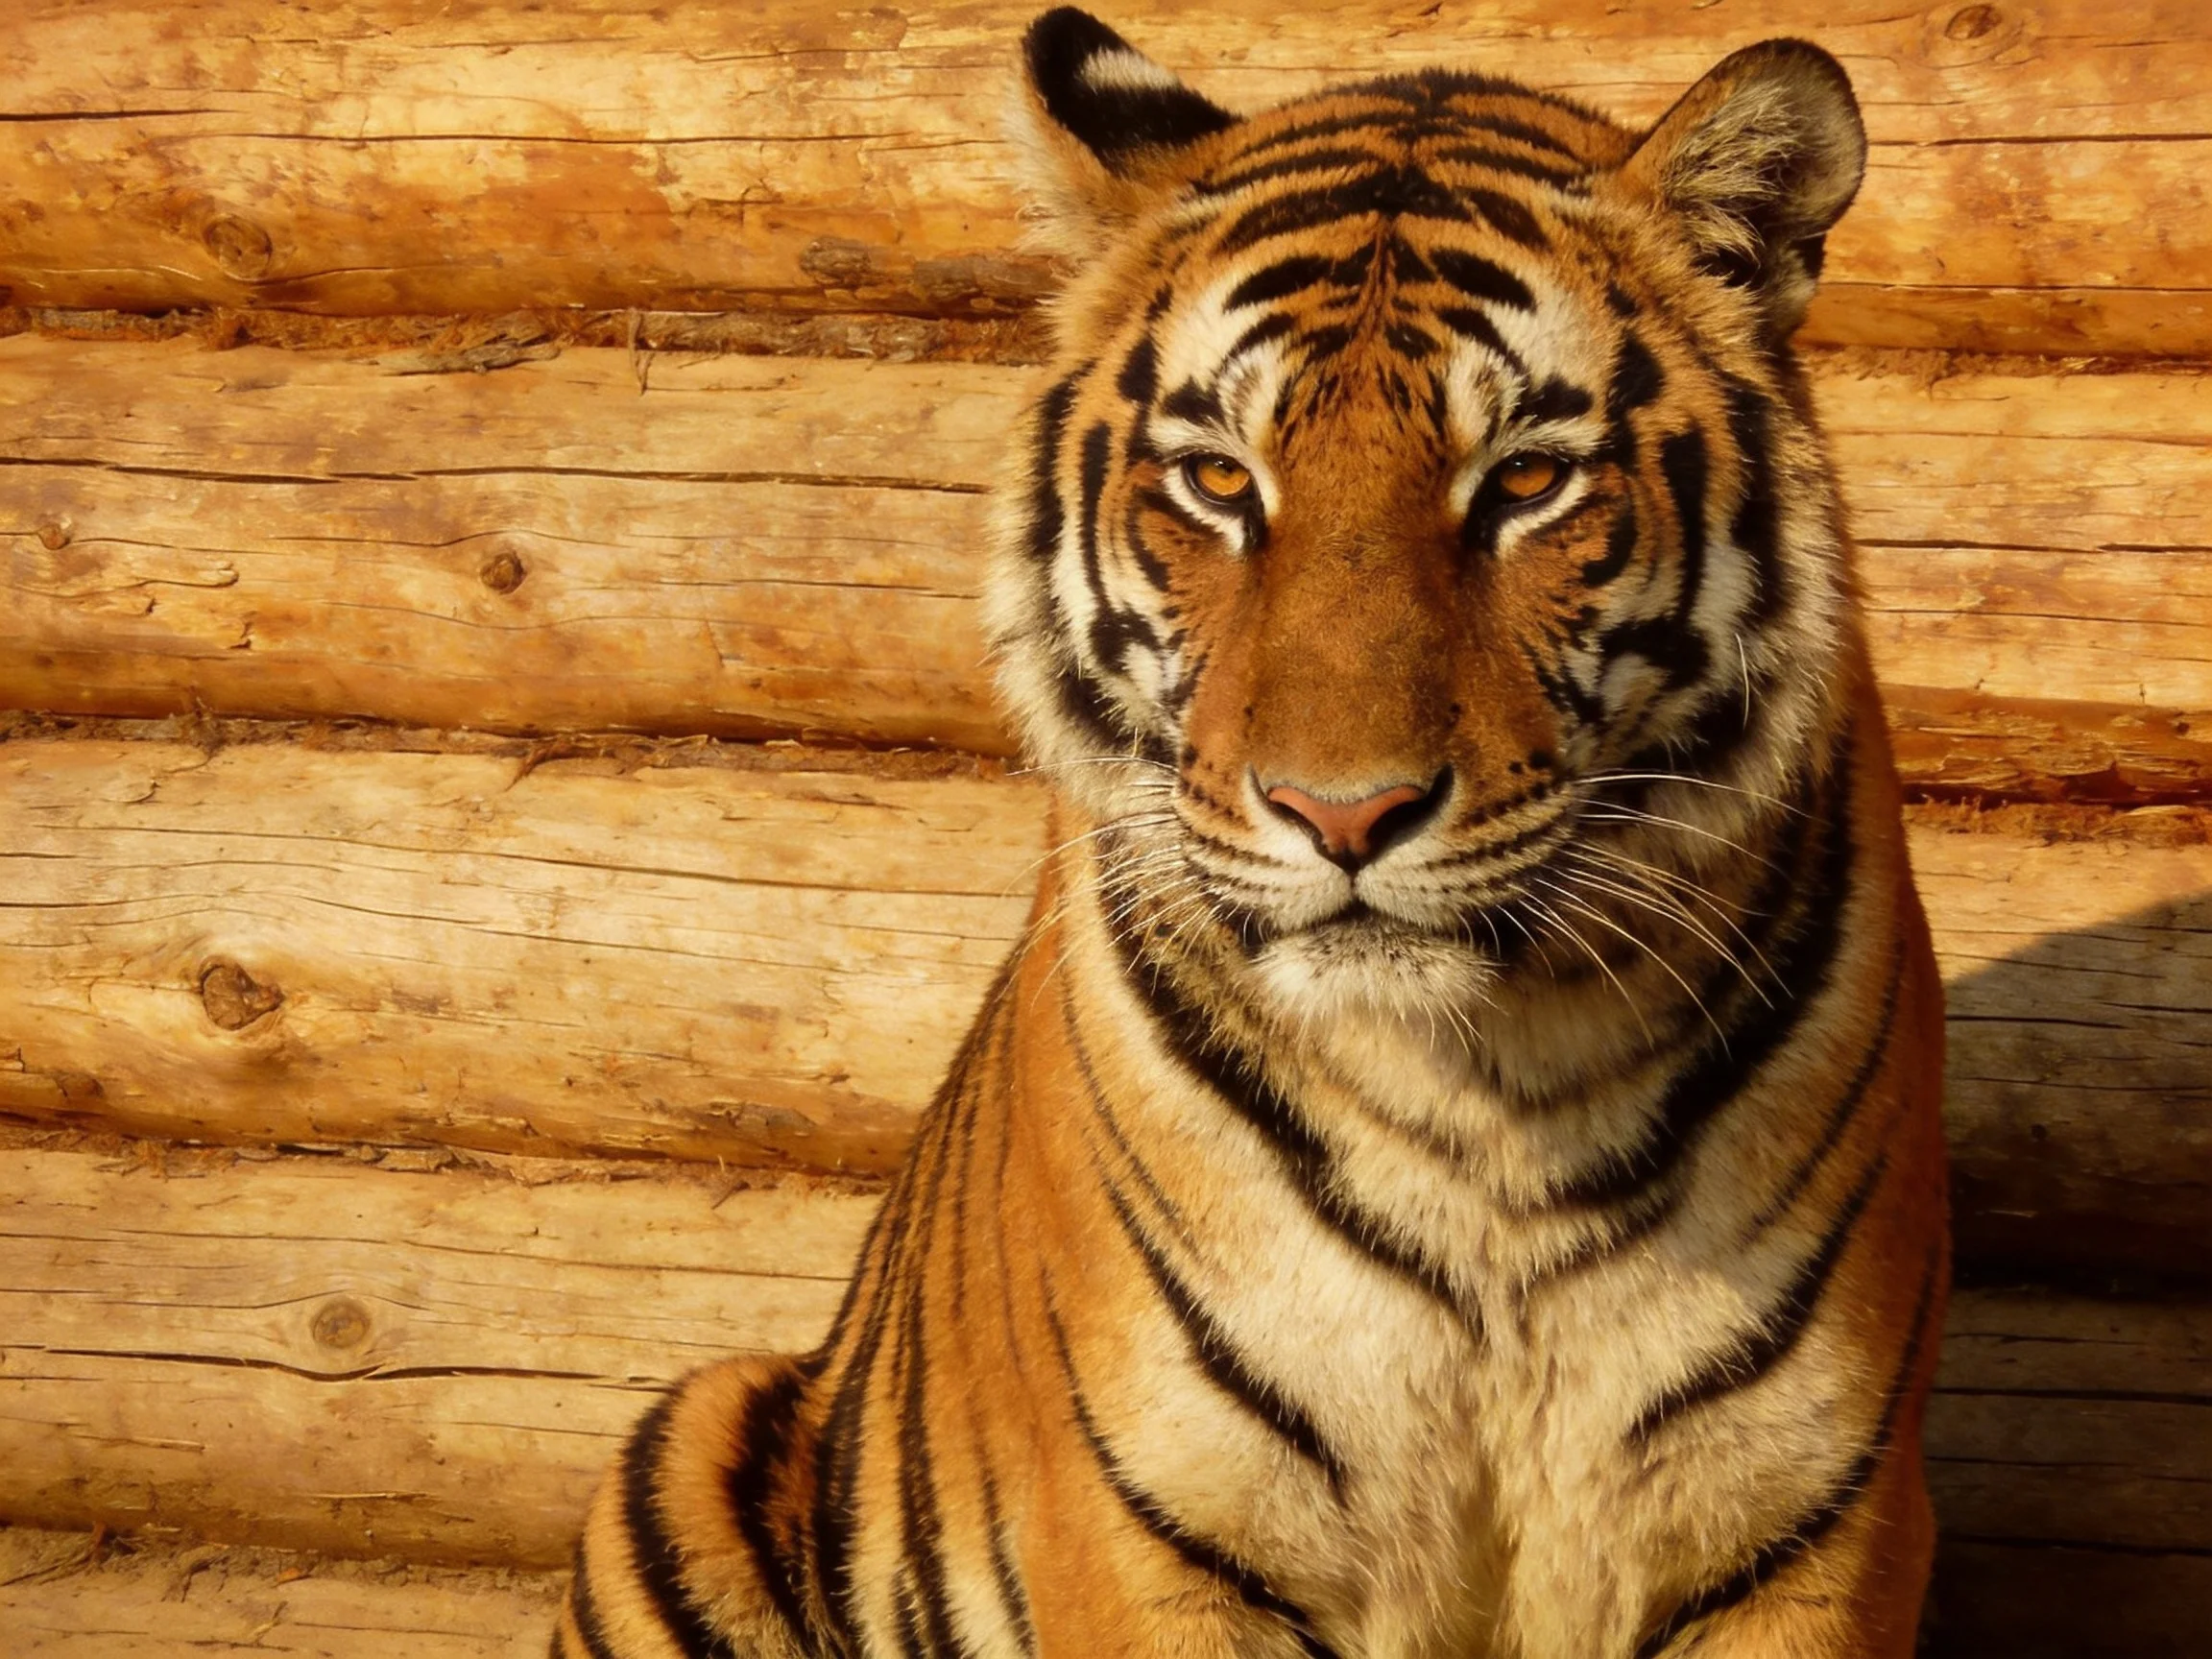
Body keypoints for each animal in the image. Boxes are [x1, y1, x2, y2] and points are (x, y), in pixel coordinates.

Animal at [555, 8, 1949, 1657]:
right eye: (1221, 479)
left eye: (1527, 481)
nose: (1343, 814)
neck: (1487, 1116)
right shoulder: (1149, 1533)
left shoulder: (1811, 1528)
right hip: (683, 1443)